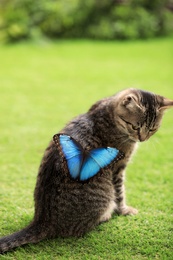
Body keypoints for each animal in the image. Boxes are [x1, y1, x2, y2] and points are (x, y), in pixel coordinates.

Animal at [0, 88, 173, 253]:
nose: (142, 138)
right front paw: (124, 210)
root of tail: (41, 220)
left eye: (152, 129)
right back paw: (106, 215)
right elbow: (120, 194)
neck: (108, 112)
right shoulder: (118, 168)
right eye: (134, 126)